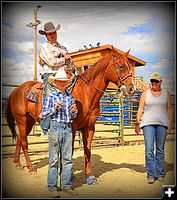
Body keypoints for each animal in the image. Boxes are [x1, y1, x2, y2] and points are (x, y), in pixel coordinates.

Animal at [5, 47, 134, 184]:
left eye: (130, 66)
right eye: (121, 66)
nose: (131, 89)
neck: (86, 93)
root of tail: (16, 90)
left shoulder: (89, 127)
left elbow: (87, 150)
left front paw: (89, 176)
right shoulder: (71, 127)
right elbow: (69, 150)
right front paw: (69, 176)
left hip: (28, 122)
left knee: (20, 139)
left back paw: (18, 164)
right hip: (22, 120)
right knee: (24, 142)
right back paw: (30, 168)